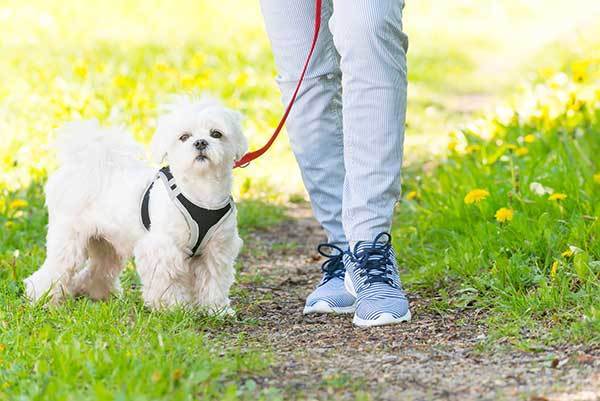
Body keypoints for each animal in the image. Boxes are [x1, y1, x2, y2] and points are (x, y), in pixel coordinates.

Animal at [24, 97, 246, 312]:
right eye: (184, 137)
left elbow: (214, 281)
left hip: (105, 244)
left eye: (216, 134)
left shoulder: (217, 249)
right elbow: (168, 280)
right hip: (69, 238)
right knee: (55, 269)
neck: (200, 190)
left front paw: (216, 309)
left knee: (98, 269)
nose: (200, 142)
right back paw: (42, 298)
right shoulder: (163, 248)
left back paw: (94, 293)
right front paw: (173, 308)